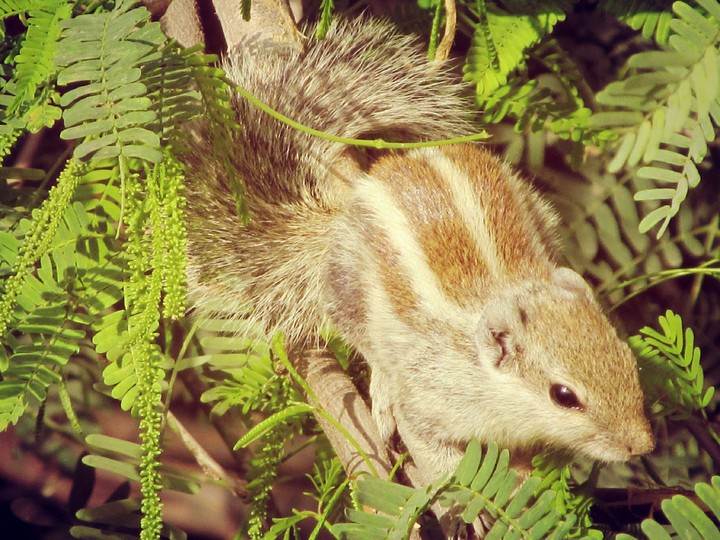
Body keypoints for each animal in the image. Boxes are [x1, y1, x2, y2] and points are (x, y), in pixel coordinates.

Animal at [183, 18, 655, 484]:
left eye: (627, 359)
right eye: (564, 395)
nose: (643, 445)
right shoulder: (430, 398)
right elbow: (437, 451)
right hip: (347, 292)